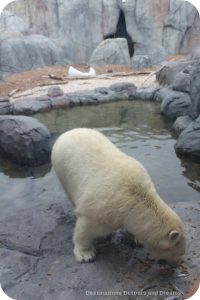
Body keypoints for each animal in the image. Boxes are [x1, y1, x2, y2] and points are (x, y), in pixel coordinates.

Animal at [50, 129, 185, 262]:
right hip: (62, 170)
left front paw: (137, 239)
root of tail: (67, 132)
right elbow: (84, 231)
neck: (135, 198)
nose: (179, 262)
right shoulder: (98, 212)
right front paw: (86, 254)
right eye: (178, 252)